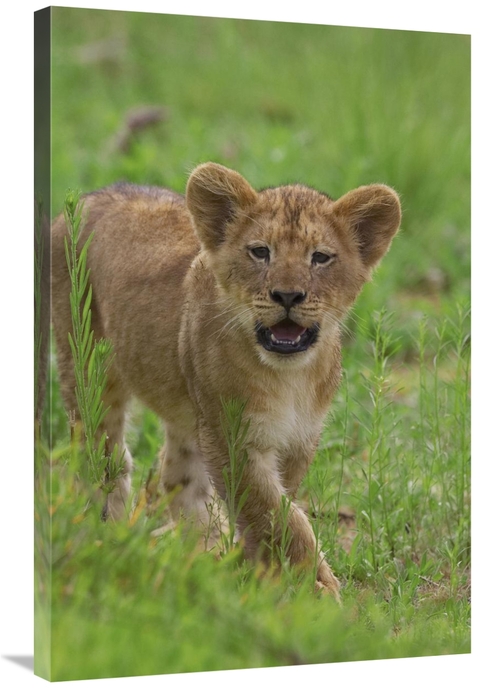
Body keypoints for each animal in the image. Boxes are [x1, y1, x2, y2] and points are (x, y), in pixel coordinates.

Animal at [51, 163, 401, 598]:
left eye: (320, 257)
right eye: (260, 251)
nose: (288, 295)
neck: (290, 376)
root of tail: (90, 196)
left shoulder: (299, 438)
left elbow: (280, 506)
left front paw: (264, 571)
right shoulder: (233, 438)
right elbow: (277, 515)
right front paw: (313, 587)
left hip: (190, 412)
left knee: (177, 476)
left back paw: (202, 554)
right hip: (87, 367)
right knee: (103, 455)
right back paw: (108, 533)